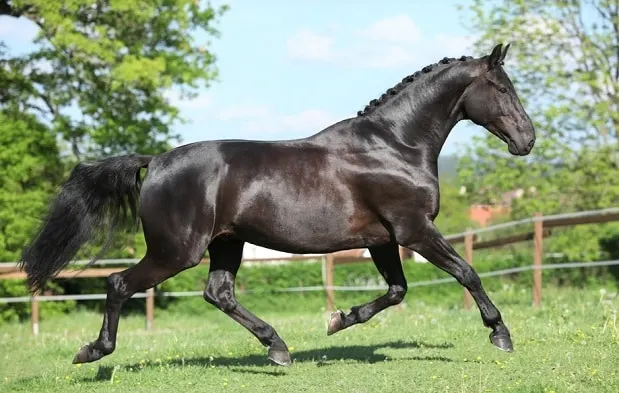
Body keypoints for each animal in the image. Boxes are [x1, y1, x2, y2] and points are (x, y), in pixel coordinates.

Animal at [19, 44, 532, 366]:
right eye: (503, 89)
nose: (527, 140)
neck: (394, 145)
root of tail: (156, 160)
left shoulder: (383, 239)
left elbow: (396, 291)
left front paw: (338, 320)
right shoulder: (415, 229)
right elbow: (466, 272)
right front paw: (501, 335)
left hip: (226, 243)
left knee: (218, 293)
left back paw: (278, 348)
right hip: (176, 251)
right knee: (120, 283)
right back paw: (93, 352)